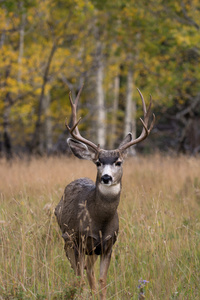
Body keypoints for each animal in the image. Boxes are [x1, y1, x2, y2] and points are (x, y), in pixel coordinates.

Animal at [54, 86, 155, 298]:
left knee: (89, 272)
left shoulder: (109, 244)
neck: (100, 222)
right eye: (98, 162)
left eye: (119, 162)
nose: (106, 178)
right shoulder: (79, 240)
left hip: (90, 250)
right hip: (67, 239)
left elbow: (101, 280)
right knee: (79, 273)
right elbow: (81, 279)